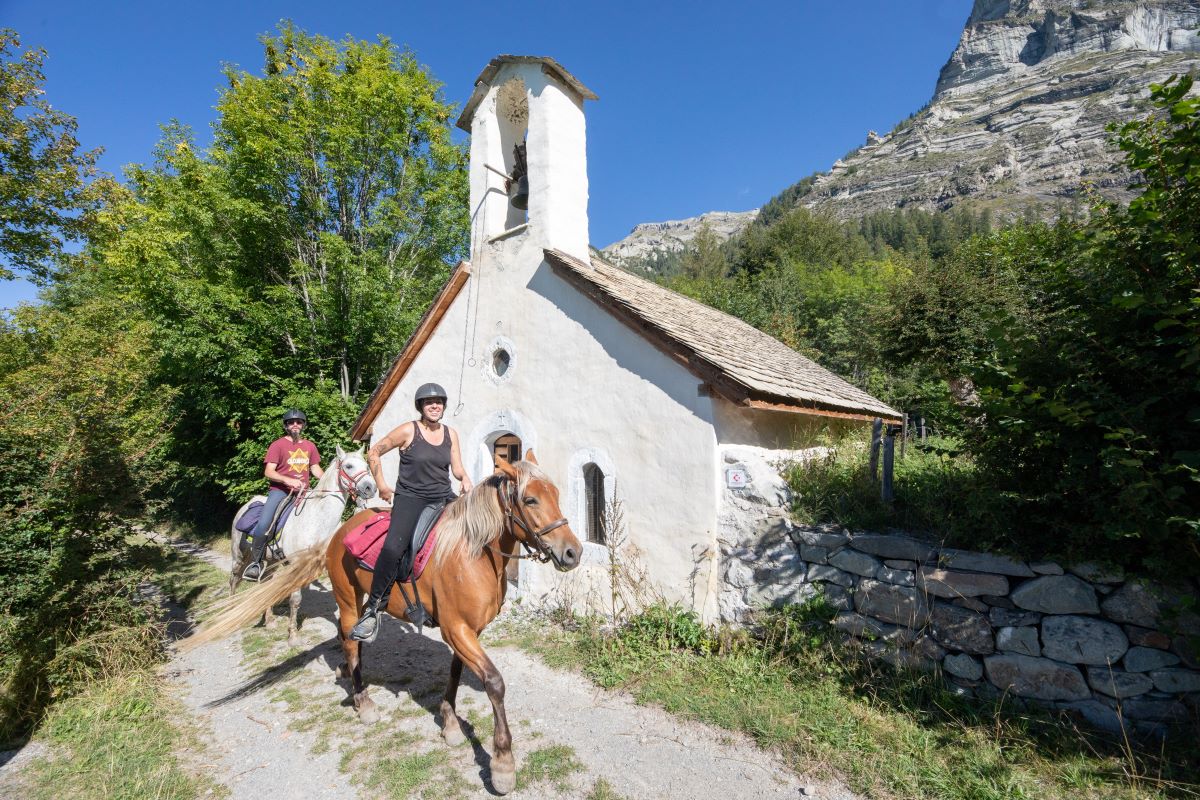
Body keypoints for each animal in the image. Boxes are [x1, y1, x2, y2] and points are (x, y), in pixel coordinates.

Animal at [225, 448, 372, 647]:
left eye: (366, 465)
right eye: (348, 466)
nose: (370, 488)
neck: (317, 520)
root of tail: (248, 504)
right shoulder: (296, 566)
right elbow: (295, 600)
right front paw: (293, 636)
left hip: (271, 561)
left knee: (265, 583)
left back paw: (269, 620)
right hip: (239, 556)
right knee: (233, 580)